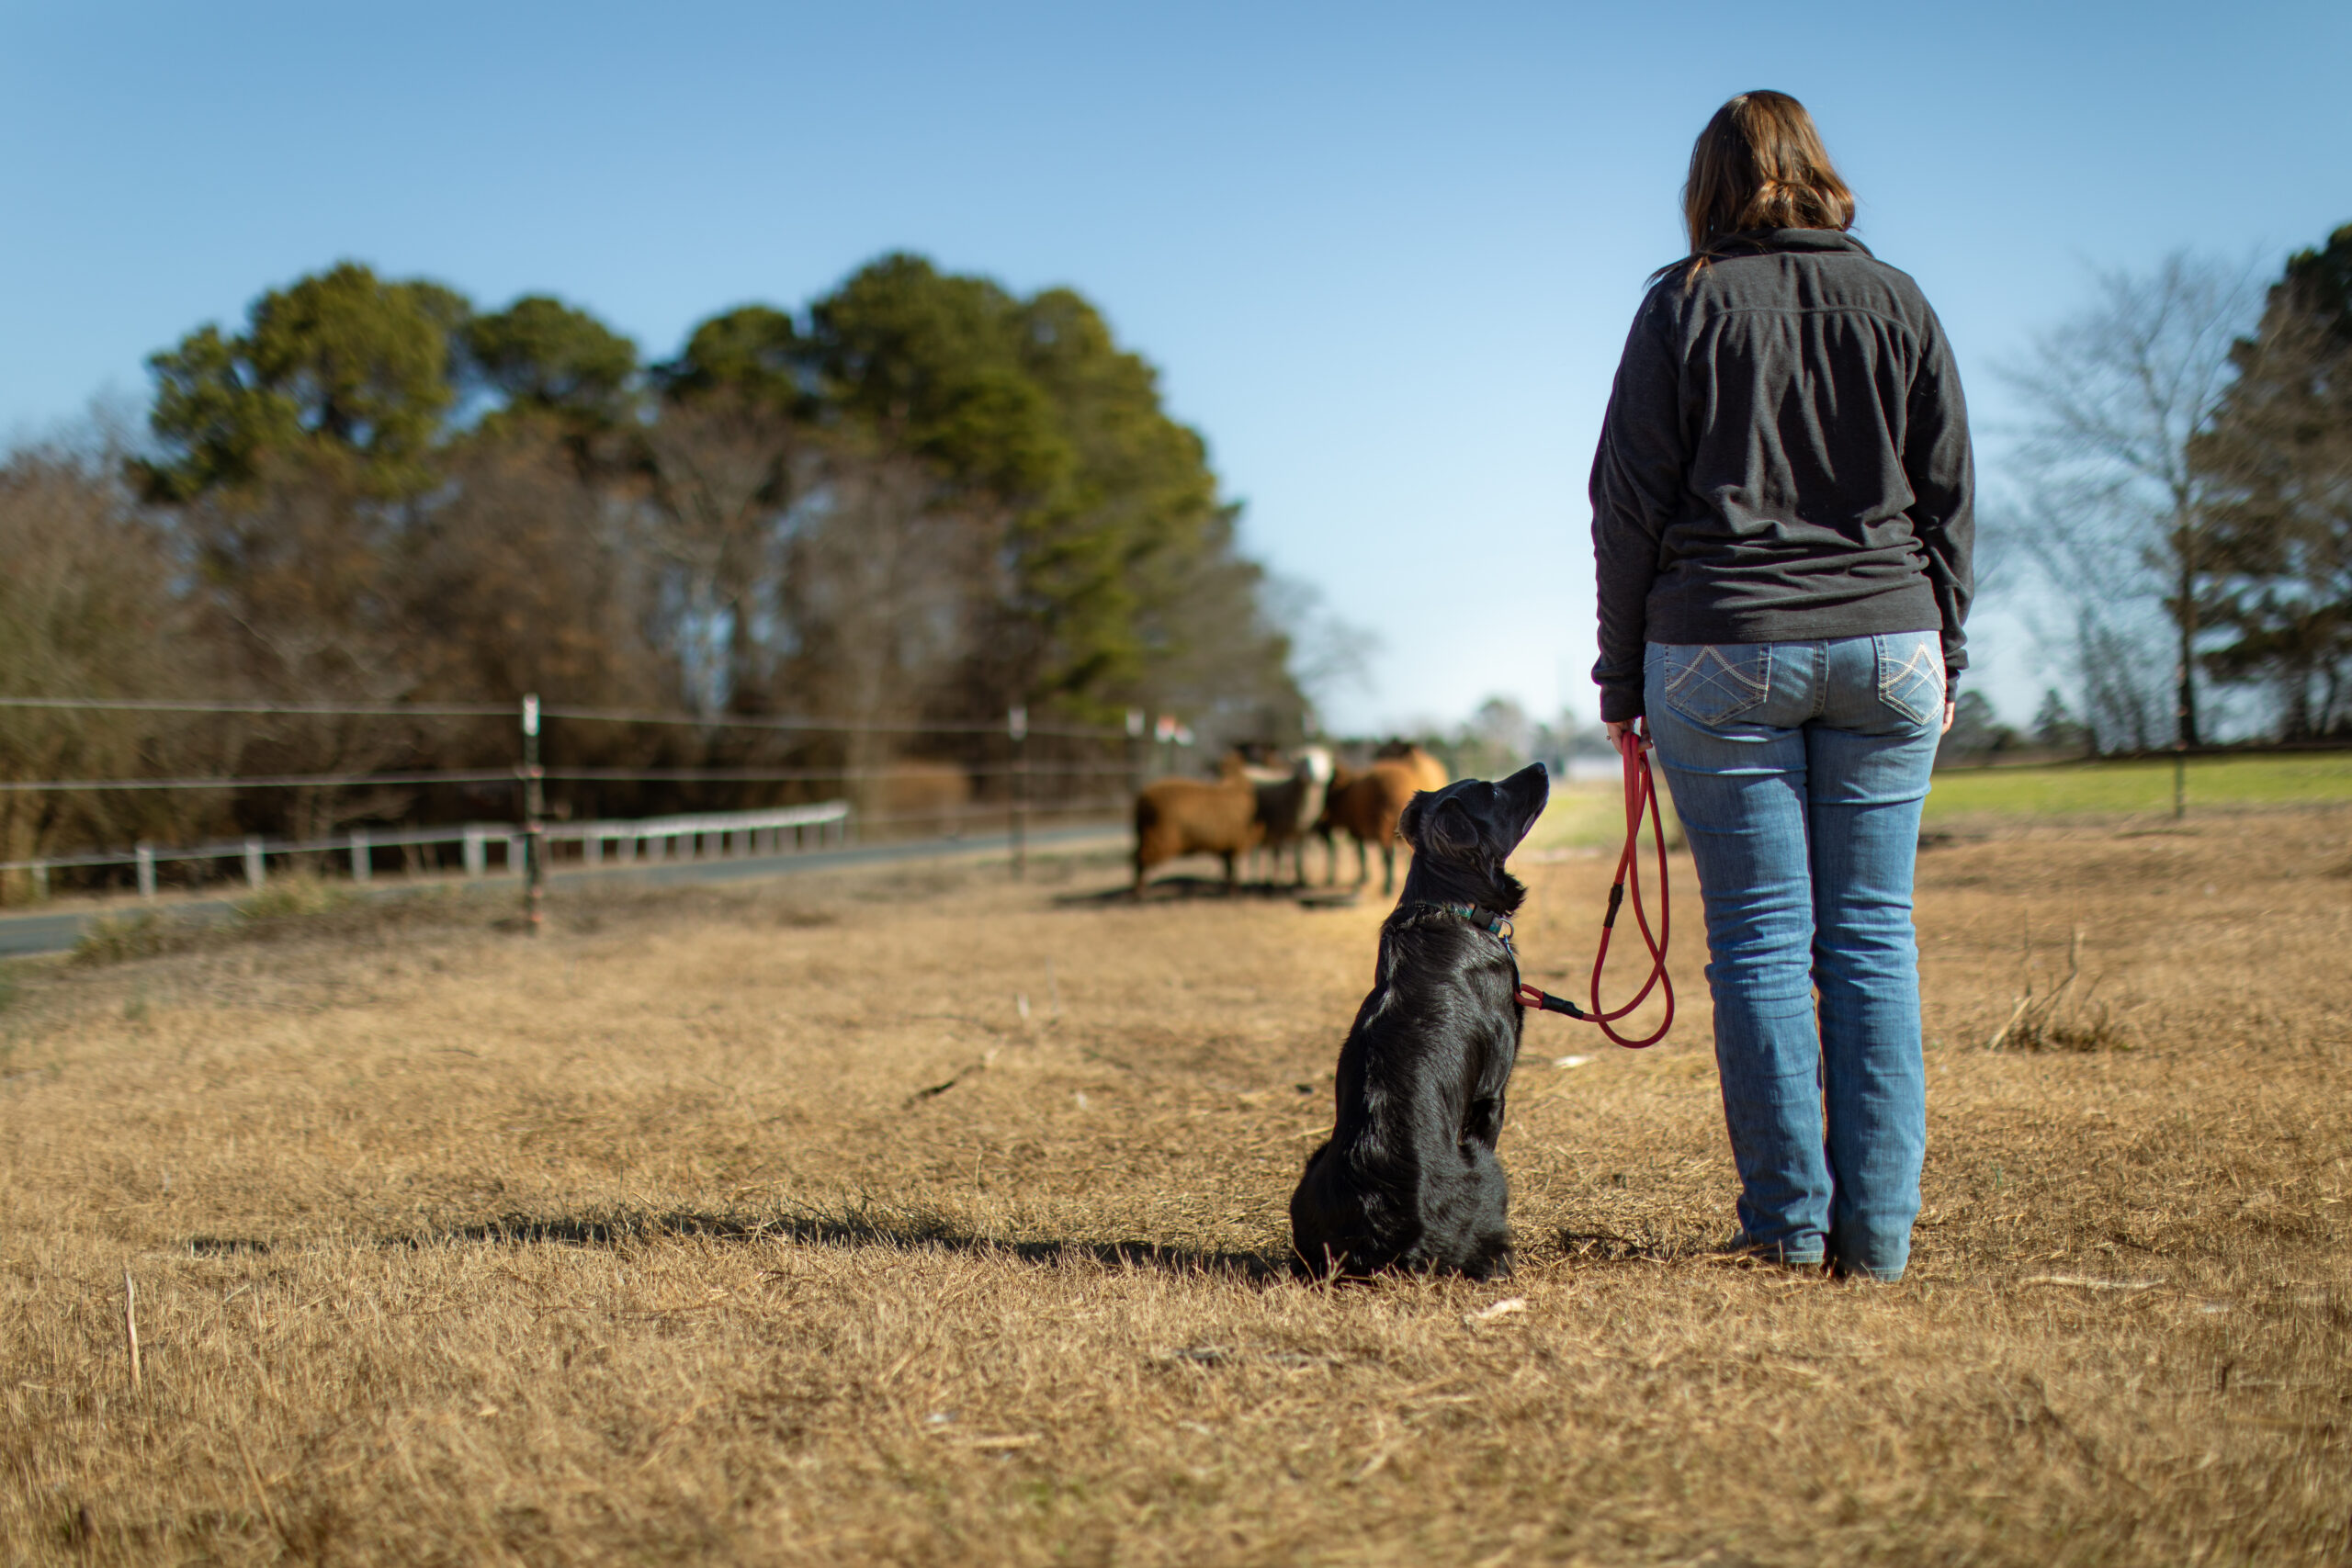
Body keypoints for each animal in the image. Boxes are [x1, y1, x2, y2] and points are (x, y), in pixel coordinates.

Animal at [1298, 766, 1552, 1279]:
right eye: (1494, 790)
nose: (1539, 766)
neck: (1452, 907)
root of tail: (1387, 1244)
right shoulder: (1492, 1094)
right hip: (1489, 1172)